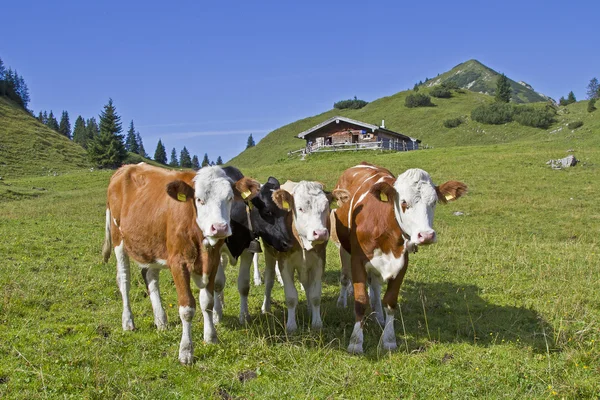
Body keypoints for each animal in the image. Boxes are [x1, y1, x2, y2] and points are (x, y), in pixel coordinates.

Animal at [101, 163, 260, 366]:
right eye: (199, 199)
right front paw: (186, 351)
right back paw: (128, 321)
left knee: (151, 278)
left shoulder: (213, 261)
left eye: (230, 198)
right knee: (124, 281)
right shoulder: (178, 263)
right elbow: (187, 308)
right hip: (118, 241)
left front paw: (211, 337)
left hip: (151, 245)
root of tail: (126, 168)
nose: (220, 228)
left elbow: (207, 302)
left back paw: (161, 320)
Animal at [264, 181, 350, 332]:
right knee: (269, 280)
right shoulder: (284, 264)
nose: (320, 233)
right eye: (300, 208)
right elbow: (291, 297)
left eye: (326, 207)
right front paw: (291, 326)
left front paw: (316, 322)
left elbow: (315, 295)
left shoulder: (318, 261)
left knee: (306, 285)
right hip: (269, 254)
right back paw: (265, 307)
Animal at [332, 162, 468, 354]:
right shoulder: (357, 260)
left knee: (375, 287)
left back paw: (378, 316)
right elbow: (360, 301)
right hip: (343, 248)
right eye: (404, 202)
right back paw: (342, 302)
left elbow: (390, 301)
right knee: (345, 277)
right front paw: (355, 341)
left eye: (434, 202)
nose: (426, 235)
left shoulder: (401, 263)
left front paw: (389, 339)